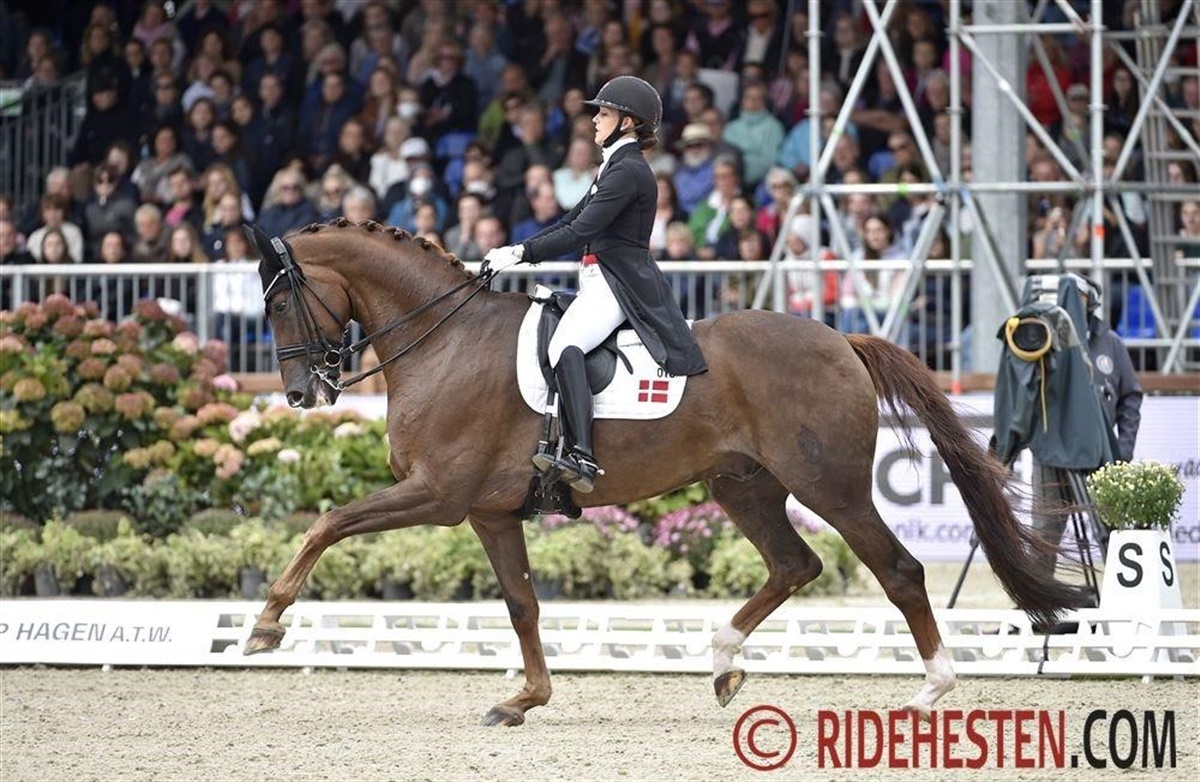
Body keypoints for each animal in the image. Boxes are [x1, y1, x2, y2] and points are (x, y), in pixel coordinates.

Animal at [243, 219, 1088, 727]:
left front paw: (265, 623)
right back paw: (721, 664)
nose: (299, 393)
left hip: (831, 488)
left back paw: (932, 688)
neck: (442, 340)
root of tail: (841, 340)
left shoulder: (440, 496)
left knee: (899, 570)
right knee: (795, 565)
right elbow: (522, 606)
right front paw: (525, 698)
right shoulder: (487, 512)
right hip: (742, 485)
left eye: (281, 304)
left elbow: (327, 522)